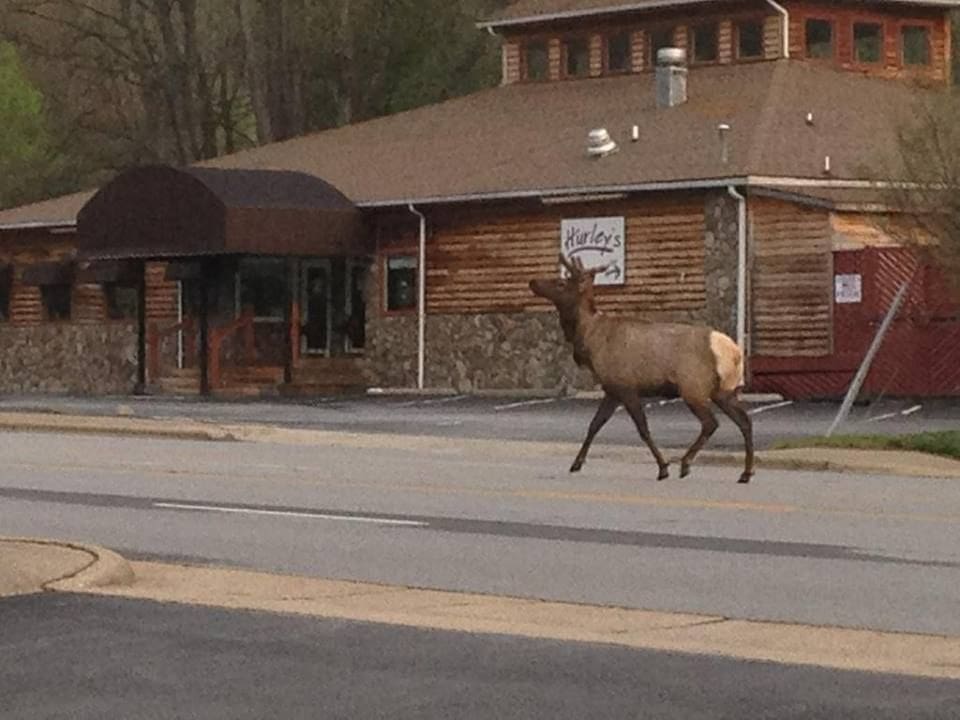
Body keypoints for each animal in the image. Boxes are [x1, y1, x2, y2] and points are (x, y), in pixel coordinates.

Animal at [529, 254, 754, 484]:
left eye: (561, 283)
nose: (533, 282)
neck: (590, 341)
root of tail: (734, 352)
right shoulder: (612, 389)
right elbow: (594, 425)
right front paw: (576, 464)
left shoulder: (627, 387)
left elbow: (643, 429)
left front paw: (663, 468)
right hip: (723, 391)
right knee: (745, 421)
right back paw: (745, 473)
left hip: (693, 387)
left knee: (711, 423)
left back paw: (685, 464)